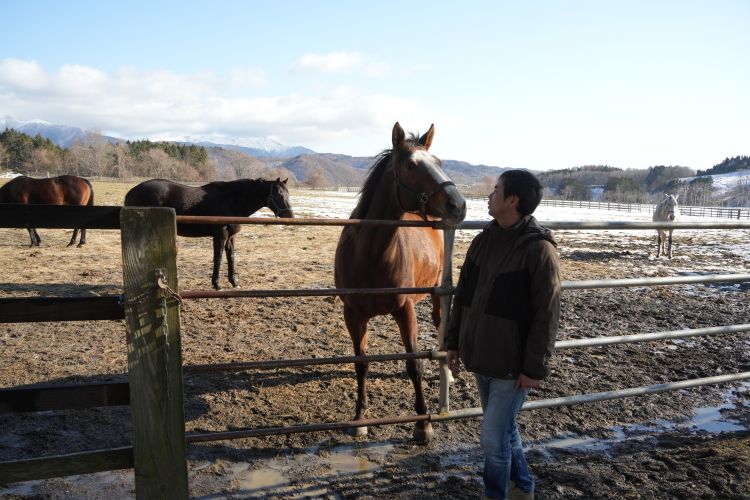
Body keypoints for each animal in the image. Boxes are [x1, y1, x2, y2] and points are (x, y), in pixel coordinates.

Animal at [124, 177, 294, 289]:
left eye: (287, 194)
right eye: (279, 194)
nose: (290, 216)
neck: (231, 201)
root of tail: (131, 192)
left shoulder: (230, 237)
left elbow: (231, 256)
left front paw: (234, 281)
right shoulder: (220, 235)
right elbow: (218, 257)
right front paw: (217, 284)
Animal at [334, 122, 466, 442]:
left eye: (439, 162)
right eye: (411, 165)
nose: (458, 204)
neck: (370, 256)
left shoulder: (405, 310)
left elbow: (413, 364)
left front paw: (423, 423)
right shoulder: (353, 315)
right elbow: (361, 364)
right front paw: (360, 417)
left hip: (436, 294)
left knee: (440, 322)